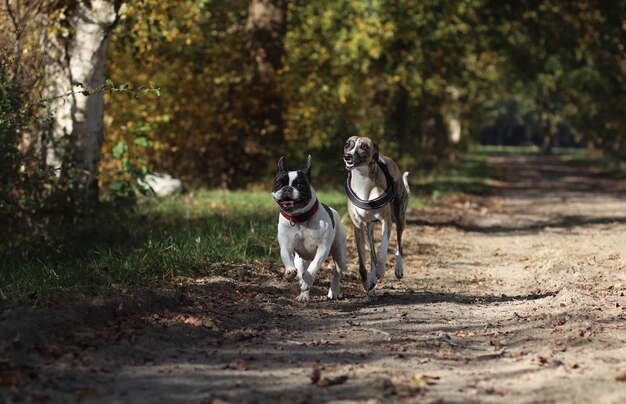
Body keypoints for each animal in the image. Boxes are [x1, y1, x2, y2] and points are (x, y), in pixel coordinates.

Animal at [270, 155, 346, 304]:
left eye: (300, 185)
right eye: (279, 184)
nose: (287, 188)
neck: (299, 219)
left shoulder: (323, 248)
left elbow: (314, 267)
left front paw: (307, 280)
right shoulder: (286, 245)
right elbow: (287, 257)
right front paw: (290, 271)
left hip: (339, 252)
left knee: (337, 272)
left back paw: (333, 291)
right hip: (301, 259)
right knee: (301, 270)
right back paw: (303, 294)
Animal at [342, 136, 410, 294]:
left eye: (363, 147)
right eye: (347, 144)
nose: (347, 156)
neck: (363, 183)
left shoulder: (386, 222)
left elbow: (383, 249)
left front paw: (381, 269)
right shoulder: (358, 227)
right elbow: (364, 261)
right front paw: (367, 282)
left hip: (399, 217)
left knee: (399, 244)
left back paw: (398, 269)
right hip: (369, 228)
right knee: (372, 251)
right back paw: (372, 278)